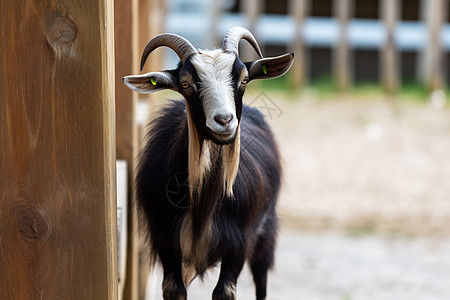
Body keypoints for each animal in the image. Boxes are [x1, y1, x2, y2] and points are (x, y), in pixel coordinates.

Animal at [123, 26, 296, 300]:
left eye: (244, 79)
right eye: (185, 84)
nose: (224, 121)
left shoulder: (239, 242)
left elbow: (224, 291)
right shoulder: (165, 240)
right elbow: (174, 289)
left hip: (265, 233)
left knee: (261, 279)